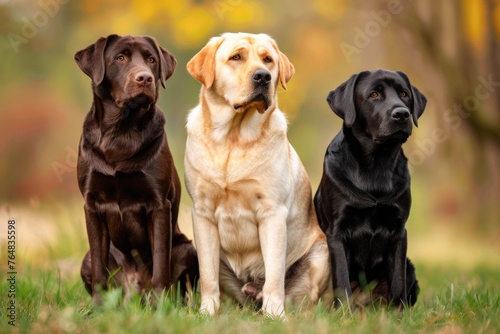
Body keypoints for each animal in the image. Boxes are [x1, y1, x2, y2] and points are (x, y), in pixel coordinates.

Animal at [314, 69, 424, 310]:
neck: (376, 166)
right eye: (374, 94)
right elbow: (342, 280)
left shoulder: (399, 232)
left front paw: (398, 315)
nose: (402, 114)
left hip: (410, 267)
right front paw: (344, 314)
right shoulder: (337, 233)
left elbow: (398, 282)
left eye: (404, 94)